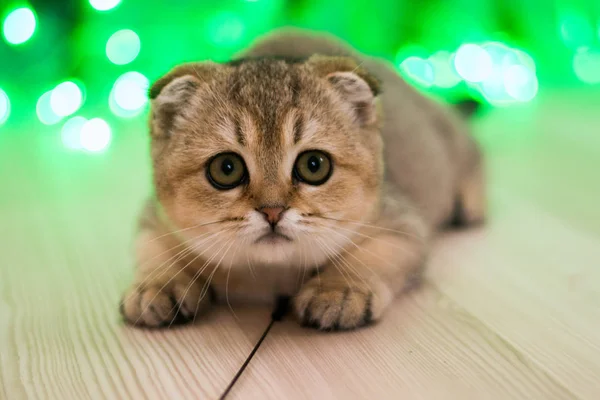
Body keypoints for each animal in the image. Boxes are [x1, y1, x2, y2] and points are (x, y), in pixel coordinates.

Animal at [119, 28, 486, 332]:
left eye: (314, 165)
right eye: (226, 168)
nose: (272, 211)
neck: (268, 275)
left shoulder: (402, 223)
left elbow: (375, 253)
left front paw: (340, 288)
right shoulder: (154, 218)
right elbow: (150, 247)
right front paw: (158, 285)